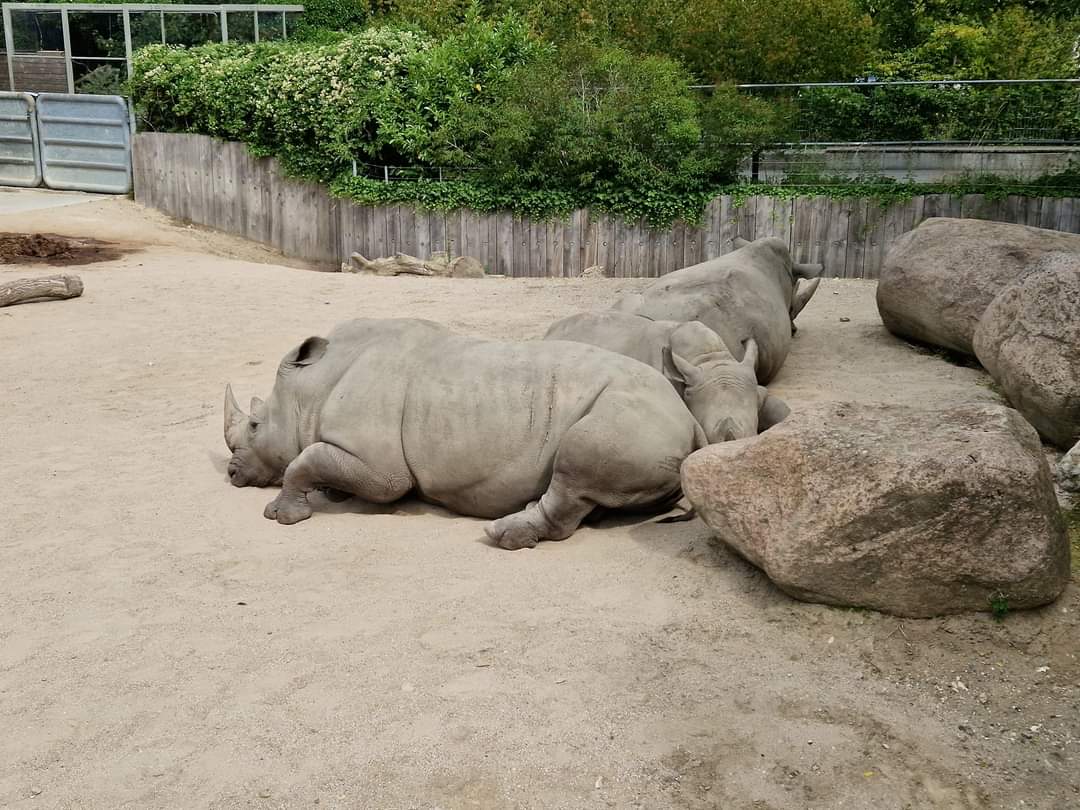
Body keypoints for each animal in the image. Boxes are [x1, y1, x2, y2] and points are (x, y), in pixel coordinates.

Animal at [224, 318, 706, 550]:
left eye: (255, 425)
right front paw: (334, 494)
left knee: (576, 469)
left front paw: (280, 516)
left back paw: (502, 534)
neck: (313, 388)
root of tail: (690, 419)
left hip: (632, 415)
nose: (231, 474)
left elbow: (303, 462)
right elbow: (319, 460)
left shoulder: (382, 471)